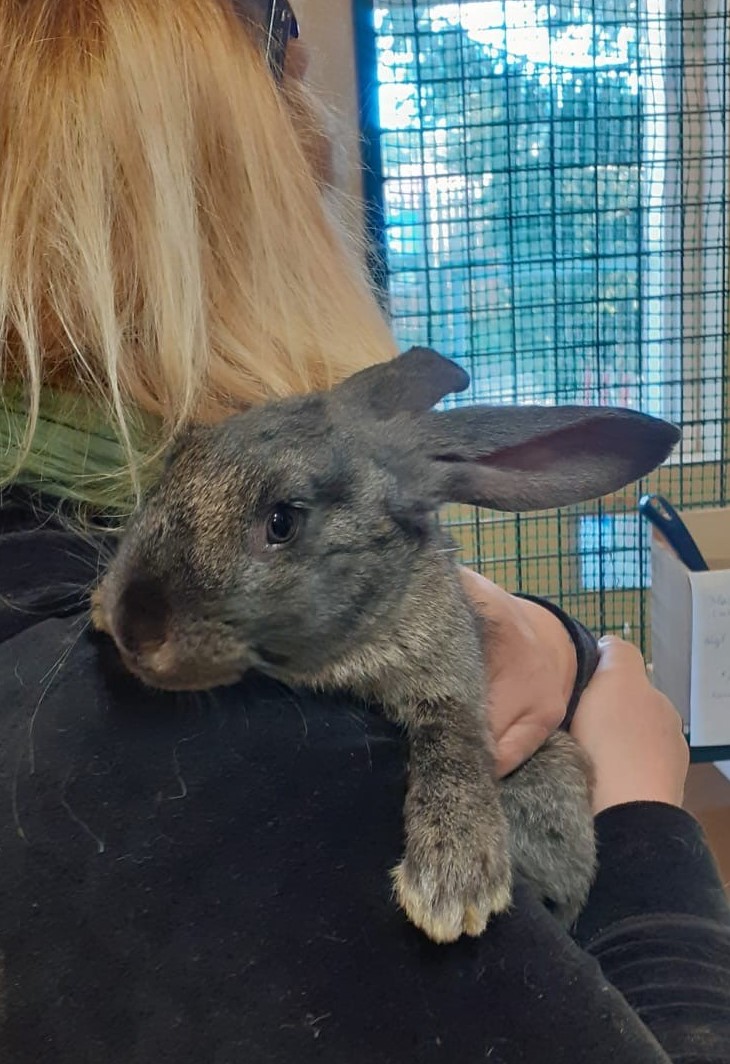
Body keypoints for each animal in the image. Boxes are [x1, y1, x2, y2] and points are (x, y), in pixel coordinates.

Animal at [93, 347, 680, 944]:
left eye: (282, 522)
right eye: (170, 469)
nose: (133, 628)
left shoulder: (448, 684)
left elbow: (454, 745)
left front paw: (451, 891)